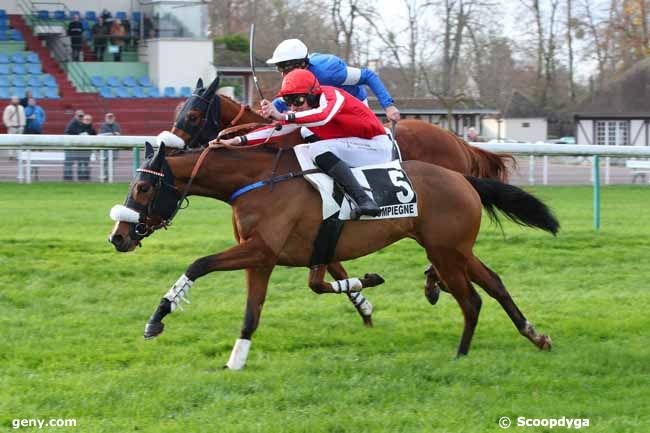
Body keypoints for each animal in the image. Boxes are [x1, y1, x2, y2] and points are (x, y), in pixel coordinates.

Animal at [109, 140, 556, 370]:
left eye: (143, 188)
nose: (118, 237)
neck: (258, 181)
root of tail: (463, 178)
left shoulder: (259, 249)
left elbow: (197, 264)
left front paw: (156, 319)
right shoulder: (263, 258)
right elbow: (252, 314)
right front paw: (235, 361)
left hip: (445, 251)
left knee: (471, 299)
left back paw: (460, 354)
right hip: (457, 249)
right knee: (494, 284)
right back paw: (535, 335)